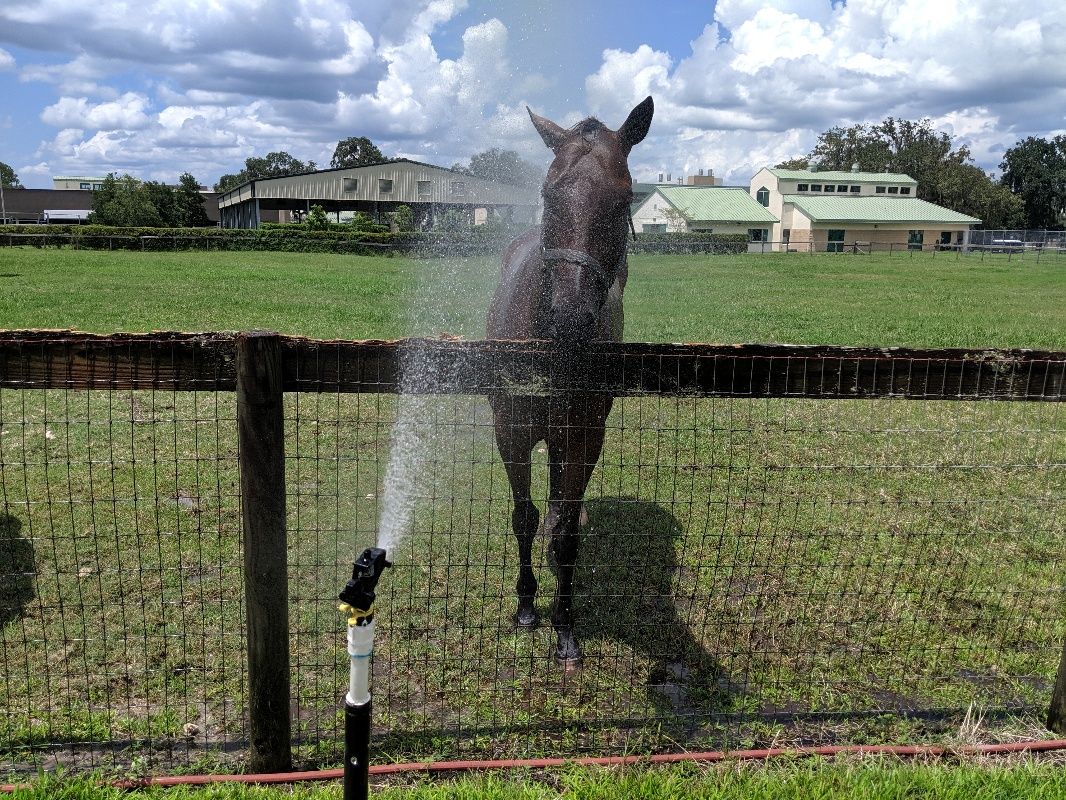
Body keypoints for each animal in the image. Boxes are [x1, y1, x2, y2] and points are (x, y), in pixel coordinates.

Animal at [486, 96, 654, 668]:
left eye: (623, 199)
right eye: (548, 192)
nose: (571, 319)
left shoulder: (584, 436)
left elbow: (564, 534)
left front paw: (564, 625)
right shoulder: (511, 429)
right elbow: (524, 516)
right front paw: (525, 607)